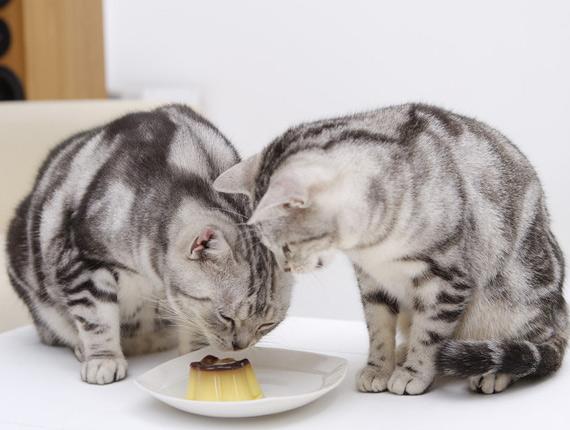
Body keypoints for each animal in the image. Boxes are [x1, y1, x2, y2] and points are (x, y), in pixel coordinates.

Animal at [6, 105, 292, 386]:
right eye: (226, 316)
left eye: (266, 324)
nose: (239, 346)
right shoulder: (83, 259)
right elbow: (97, 319)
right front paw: (103, 360)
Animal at [213, 103, 564, 394]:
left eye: (287, 246)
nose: (287, 267)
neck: (371, 246)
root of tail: (561, 314)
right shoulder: (371, 281)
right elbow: (378, 330)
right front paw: (379, 368)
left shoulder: (445, 280)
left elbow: (429, 335)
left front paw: (413, 372)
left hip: (514, 301)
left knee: (534, 347)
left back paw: (493, 373)